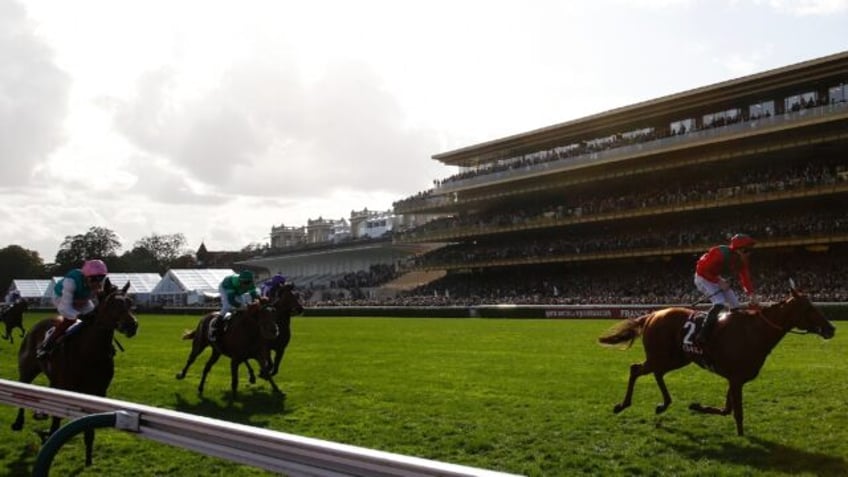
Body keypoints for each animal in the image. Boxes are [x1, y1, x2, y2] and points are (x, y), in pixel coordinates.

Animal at [11, 278, 139, 464]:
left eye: (130, 302)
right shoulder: (63, 388)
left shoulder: (96, 392)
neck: (89, 352)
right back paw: (19, 422)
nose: (132, 325)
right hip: (28, 370)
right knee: (22, 392)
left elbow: (89, 429)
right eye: (111, 303)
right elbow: (56, 421)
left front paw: (88, 460)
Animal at [596, 282, 836, 436]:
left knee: (654, 372)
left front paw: (696, 406)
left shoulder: (735, 378)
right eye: (808, 308)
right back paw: (623, 405)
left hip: (677, 358)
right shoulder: (736, 379)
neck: (755, 331)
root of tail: (652, 314)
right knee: (636, 369)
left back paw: (663, 404)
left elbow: (726, 409)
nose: (831, 328)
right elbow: (737, 412)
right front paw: (742, 437)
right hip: (661, 355)